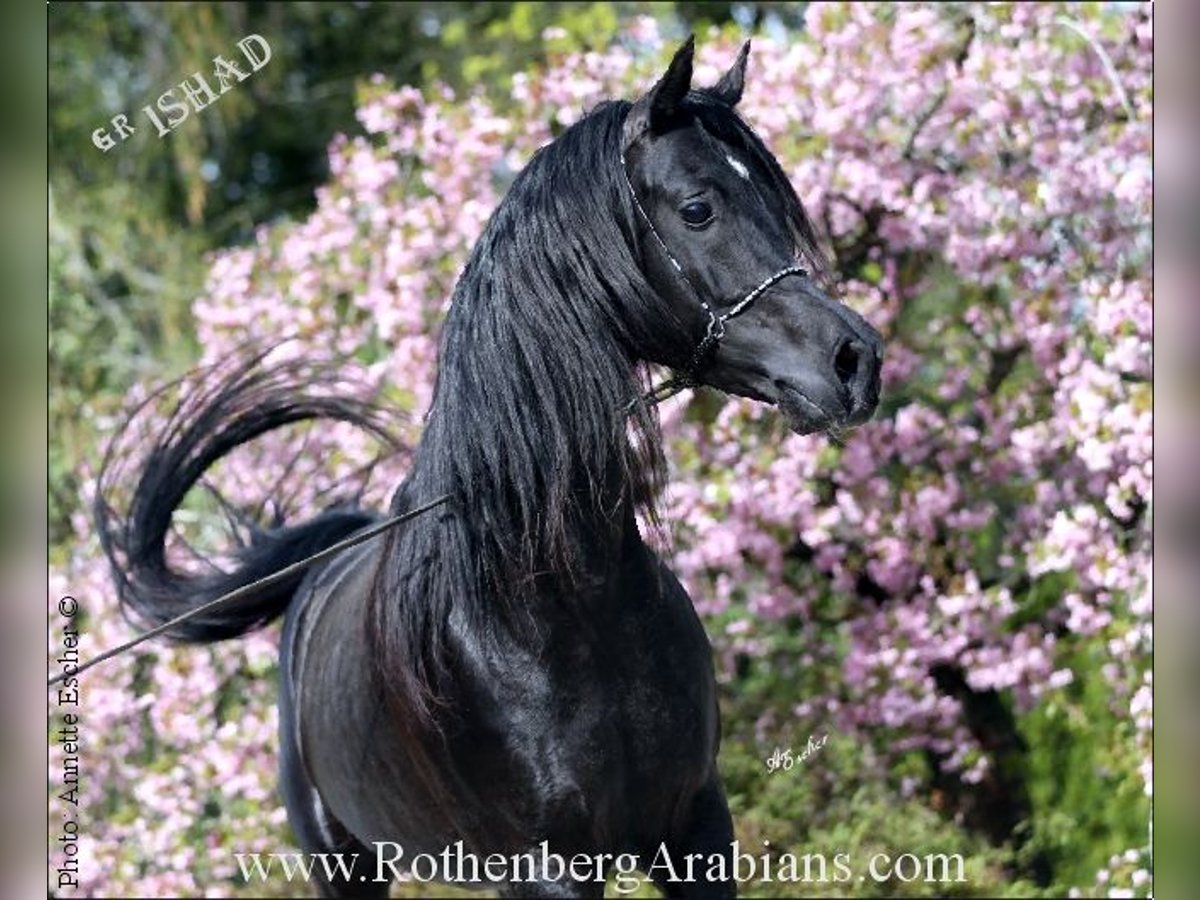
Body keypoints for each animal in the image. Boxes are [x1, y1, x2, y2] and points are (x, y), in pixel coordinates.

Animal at [98, 38, 883, 897]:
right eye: (698, 207)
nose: (855, 361)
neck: (557, 608)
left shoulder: (696, 830)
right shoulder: (544, 868)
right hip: (346, 867)